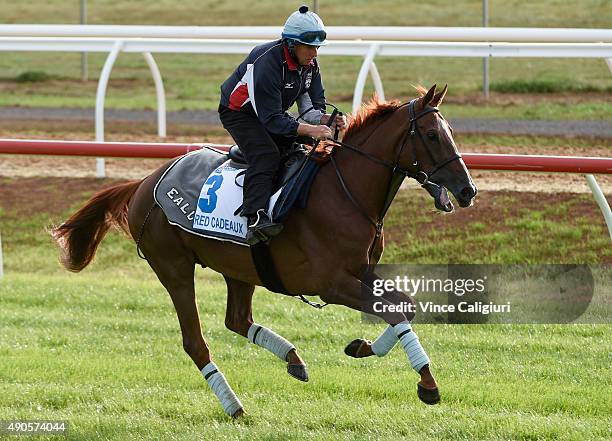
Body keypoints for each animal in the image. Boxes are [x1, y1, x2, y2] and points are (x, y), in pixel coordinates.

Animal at [53, 83, 478, 416]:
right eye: (432, 135)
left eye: (451, 130)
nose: (467, 190)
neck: (345, 193)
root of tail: (144, 182)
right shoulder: (332, 284)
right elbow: (393, 310)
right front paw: (428, 385)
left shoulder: (363, 272)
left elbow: (404, 306)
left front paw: (361, 347)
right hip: (174, 268)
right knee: (196, 342)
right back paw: (234, 406)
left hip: (238, 266)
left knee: (237, 320)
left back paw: (293, 359)